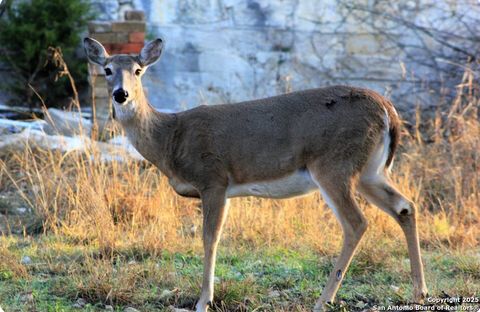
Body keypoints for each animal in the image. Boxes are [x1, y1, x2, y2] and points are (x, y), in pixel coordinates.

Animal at [84, 37, 430, 310]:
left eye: (138, 71)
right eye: (107, 70)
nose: (121, 95)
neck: (169, 138)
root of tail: (388, 109)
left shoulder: (214, 178)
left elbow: (210, 237)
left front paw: (203, 300)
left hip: (334, 164)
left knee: (356, 222)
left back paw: (324, 300)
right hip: (369, 170)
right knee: (405, 207)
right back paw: (420, 292)